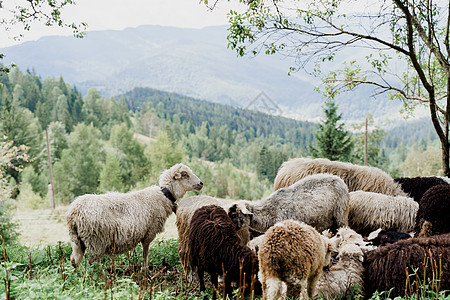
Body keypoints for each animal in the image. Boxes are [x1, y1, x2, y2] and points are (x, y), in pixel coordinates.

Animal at [66, 163, 203, 268]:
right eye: (184, 174)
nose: (201, 183)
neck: (164, 195)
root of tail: (74, 211)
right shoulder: (150, 231)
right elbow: (145, 252)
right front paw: (145, 269)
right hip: (96, 240)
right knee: (92, 264)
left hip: (77, 240)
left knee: (74, 260)